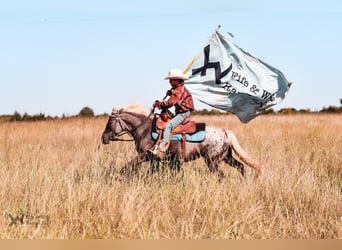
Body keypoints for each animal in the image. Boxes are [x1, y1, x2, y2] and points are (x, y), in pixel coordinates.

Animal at [101, 103, 262, 178]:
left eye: (110, 122)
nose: (104, 138)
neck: (145, 129)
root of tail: (224, 132)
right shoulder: (155, 160)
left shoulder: (145, 156)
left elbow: (126, 167)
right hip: (226, 157)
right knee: (241, 167)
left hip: (213, 161)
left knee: (221, 175)